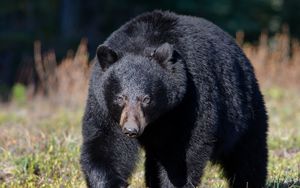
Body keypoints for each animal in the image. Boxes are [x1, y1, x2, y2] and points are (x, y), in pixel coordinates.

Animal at [79, 10, 268, 188]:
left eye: (146, 99)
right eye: (120, 97)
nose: (131, 129)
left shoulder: (189, 99)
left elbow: (183, 151)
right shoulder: (104, 106)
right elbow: (106, 143)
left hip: (245, 109)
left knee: (248, 154)